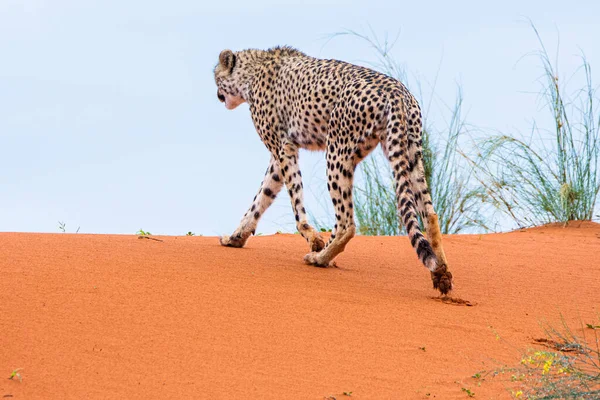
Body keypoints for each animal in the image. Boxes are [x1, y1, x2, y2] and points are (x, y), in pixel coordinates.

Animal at [213, 47, 452, 296]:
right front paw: (235, 237)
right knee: (430, 214)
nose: (217, 94)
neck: (253, 69)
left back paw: (320, 257)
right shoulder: (279, 156)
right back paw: (441, 272)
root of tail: (396, 89)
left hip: (337, 152)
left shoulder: (283, 147)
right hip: (410, 152)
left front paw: (313, 239)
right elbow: (261, 198)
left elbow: (294, 202)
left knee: (347, 222)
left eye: (216, 77)